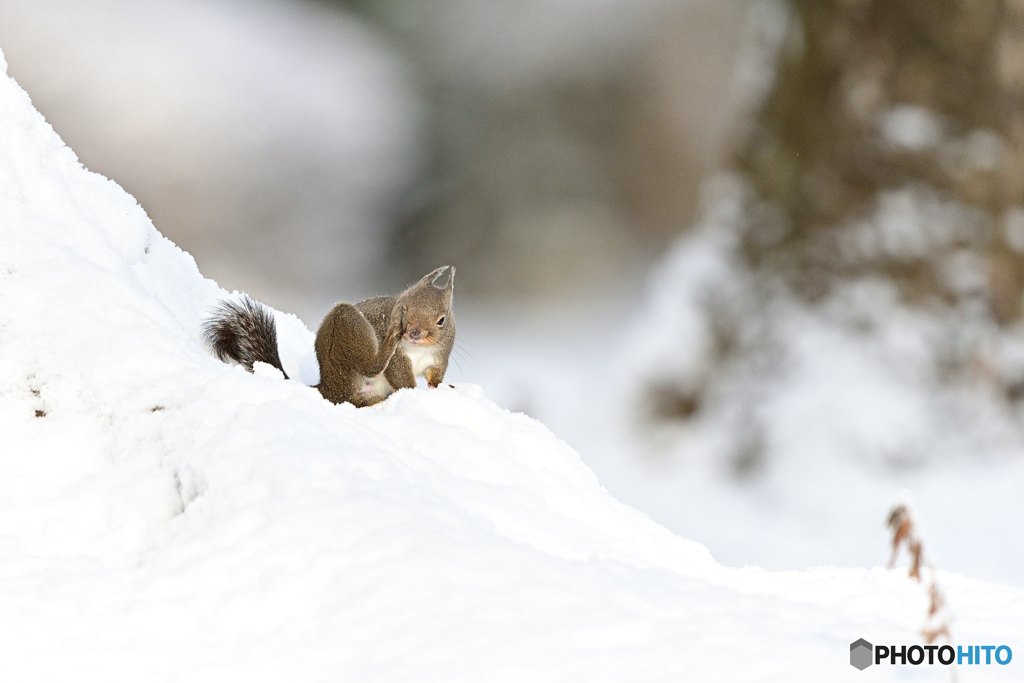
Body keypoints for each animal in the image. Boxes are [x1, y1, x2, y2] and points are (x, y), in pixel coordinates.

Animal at [200, 266, 456, 405]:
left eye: (441, 320)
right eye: (403, 309)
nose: (413, 333)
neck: (419, 349)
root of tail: (329, 386)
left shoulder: (439, 357)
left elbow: (435, 376)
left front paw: (442, 387)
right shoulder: (399, 360)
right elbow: (401, 376)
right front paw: (416, 393)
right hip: (346, 327)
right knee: (368, 368)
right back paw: (390, 338)